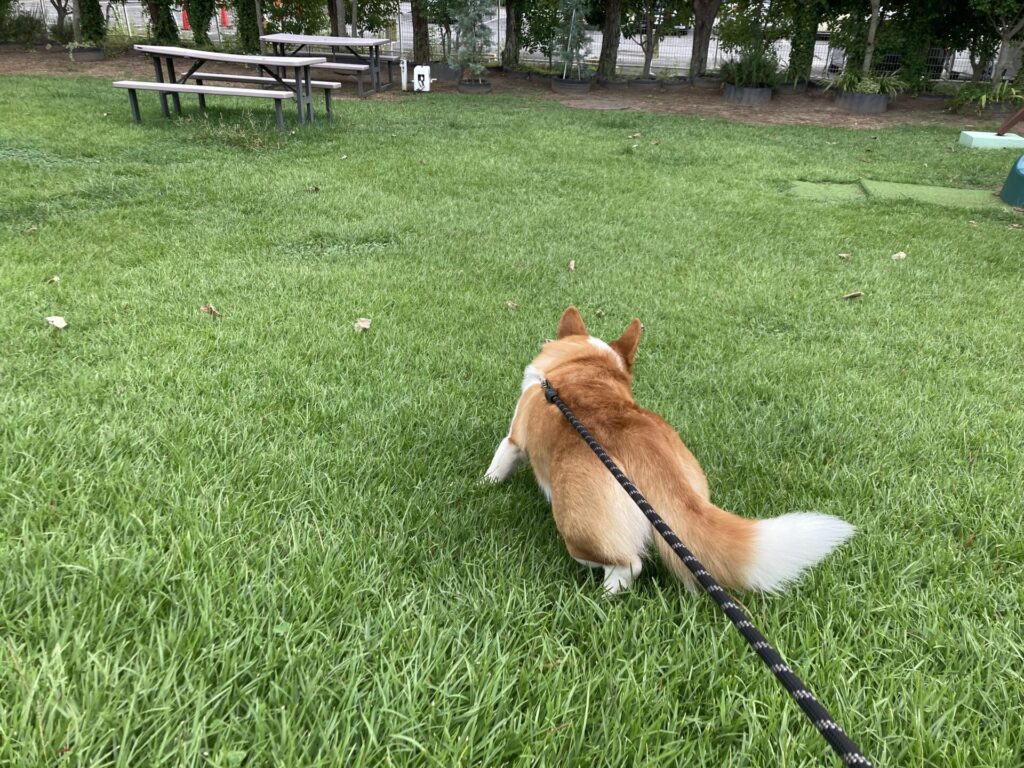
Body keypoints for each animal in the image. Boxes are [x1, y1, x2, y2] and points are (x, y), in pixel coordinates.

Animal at [485, 307, 854, 594]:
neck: (582, 364)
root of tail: (656, 465)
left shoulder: (513, 441)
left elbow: (499, 464)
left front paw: (485, 485)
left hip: (578, 529)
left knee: (628, 564)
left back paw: (604, 596)